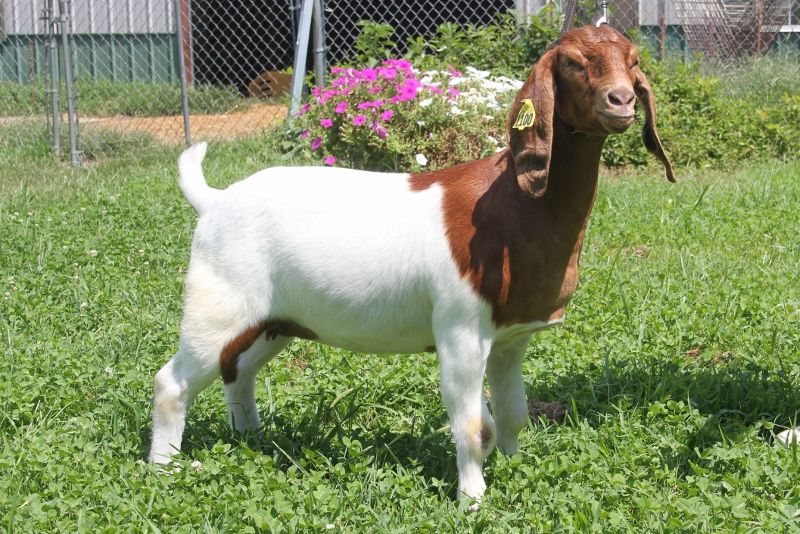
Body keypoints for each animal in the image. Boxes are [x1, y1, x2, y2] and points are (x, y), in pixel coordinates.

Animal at [149, 25, 675, 505]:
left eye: (632, 61)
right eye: (572, 63)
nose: (621, 100)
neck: (511, 201)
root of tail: (214, 200)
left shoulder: (510, 338)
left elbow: (512, 413)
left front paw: (514, 468)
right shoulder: (461, 331)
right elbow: (473, 425)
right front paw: (473, 500)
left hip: (273, 320)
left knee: (238, 369)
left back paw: (250, 438)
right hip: (216, 304)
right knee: (173, 381)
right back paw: (164, 469)